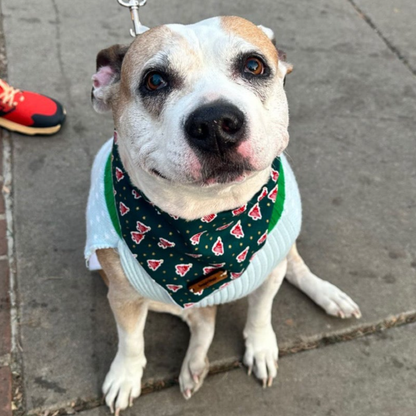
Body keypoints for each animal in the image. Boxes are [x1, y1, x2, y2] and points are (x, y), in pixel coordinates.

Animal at [84, 14, 360, 414]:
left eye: (254, 65)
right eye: (155, 80)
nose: (215, 122)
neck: (209, 220)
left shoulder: (268, 271)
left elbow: (261, 312)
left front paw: (261, 347)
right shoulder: (123, 297)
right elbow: (131, 341)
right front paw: (125, 376)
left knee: (293, 268)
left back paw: (327, 294)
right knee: (202, 317)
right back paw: (194, 364)